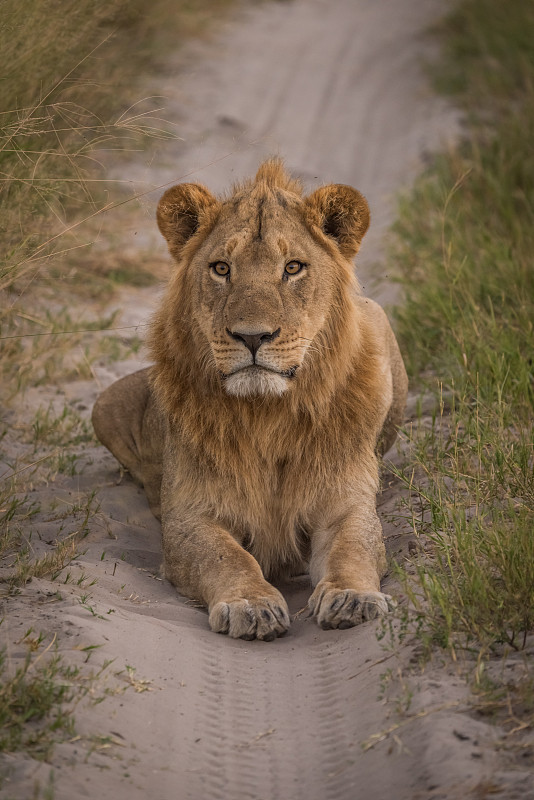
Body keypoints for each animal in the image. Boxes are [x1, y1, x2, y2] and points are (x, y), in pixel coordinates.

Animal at [93, 159, 410, 640]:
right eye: (222, 268)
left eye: (293, 267)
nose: (252, 336)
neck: (267, 414)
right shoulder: (191, 516)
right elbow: (228, 558)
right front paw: (251, 604)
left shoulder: (346, 503)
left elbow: (353, 548)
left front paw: (353, 598)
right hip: (105, 405)